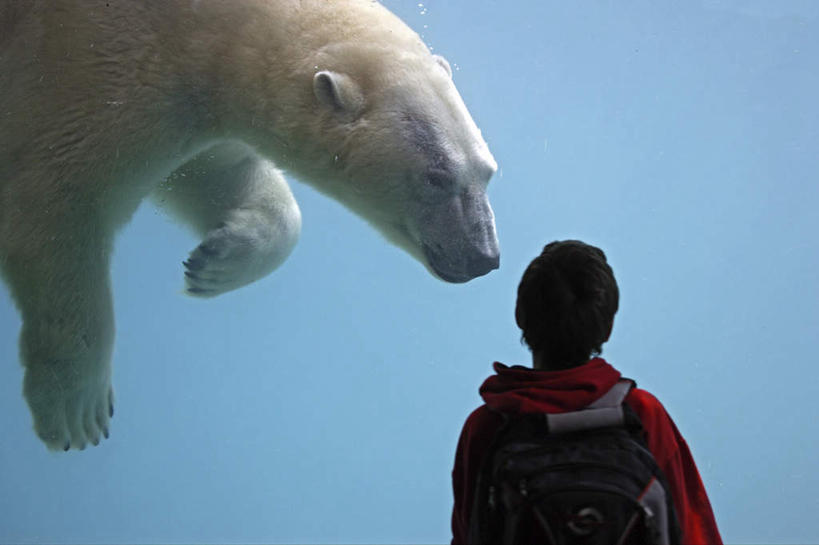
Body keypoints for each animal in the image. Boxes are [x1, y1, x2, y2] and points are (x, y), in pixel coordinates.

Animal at [0, 0, 499, 451]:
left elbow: (217, 171)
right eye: (436, 176)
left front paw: (214, 263)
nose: (483, 257)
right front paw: (76, 409)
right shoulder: (91, 68)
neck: (201, 25)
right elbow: (58, 201)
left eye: (488, 170)